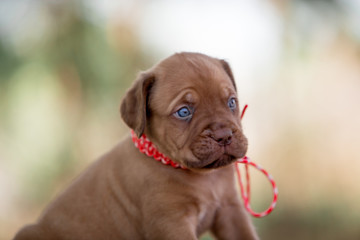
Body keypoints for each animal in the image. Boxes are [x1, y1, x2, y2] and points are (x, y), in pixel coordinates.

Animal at [14, 51, 258, 239]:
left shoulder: (230, 210)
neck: (203, 178)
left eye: (232, 102)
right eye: (184, 112)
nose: (224, 135)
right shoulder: (172, 223)